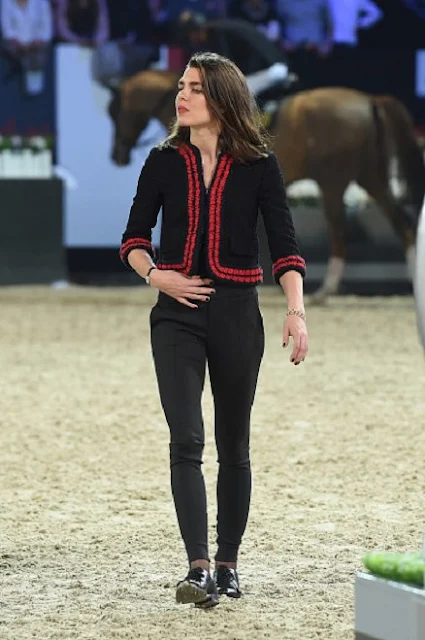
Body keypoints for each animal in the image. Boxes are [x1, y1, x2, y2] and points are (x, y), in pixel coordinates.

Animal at [107, 70, 424, 300]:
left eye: (116, 111)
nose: (118, 156)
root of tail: (368, 100)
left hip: (334, 181)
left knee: (340, 231)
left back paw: (326, 291)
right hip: (370, 176)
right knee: (400, 223)